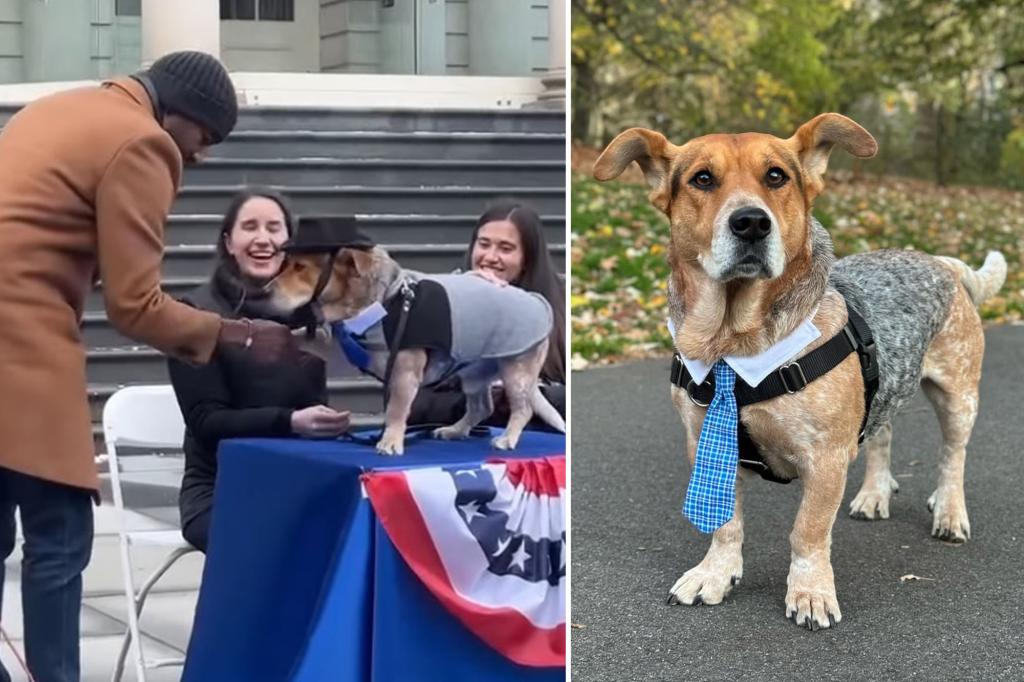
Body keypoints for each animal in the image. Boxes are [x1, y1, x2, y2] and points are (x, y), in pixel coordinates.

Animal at [268, 215, 565, 454]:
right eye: (286, 264)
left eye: (300, 268)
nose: (266, 290)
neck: (382, 299)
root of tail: (534, 298)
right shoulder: (339, 344)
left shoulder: (404, 371)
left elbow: (396, 408)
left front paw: (390, 440)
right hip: (474, 371)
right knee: (482, 407)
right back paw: (455, 430)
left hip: (517, 370)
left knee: (523, 408)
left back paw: (507, 438)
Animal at [598, 114, 1003, 630]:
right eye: (702, 179)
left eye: (776, 176)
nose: (751, 222)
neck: (734, 345)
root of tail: (942, 262)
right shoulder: (704, 443)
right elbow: (726, 523)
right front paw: (714, 574)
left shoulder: (826, 458)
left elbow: (807, 532)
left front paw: (810, 593)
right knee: (883, 433)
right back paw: (874, 493)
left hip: (959, 398)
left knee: (953, 457)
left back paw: (949, 512)